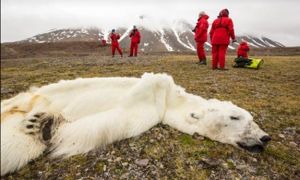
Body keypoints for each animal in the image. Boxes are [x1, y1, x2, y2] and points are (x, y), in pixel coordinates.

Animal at [0, 72, 272, 175]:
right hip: (30, 98)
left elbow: (107, 124)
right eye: (236, 117)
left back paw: (37, 124)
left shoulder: (147, 114)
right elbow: (150, 81)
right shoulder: (154, 93)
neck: (170, 101)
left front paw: (46, 126)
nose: (265, 137)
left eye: (252, 119)